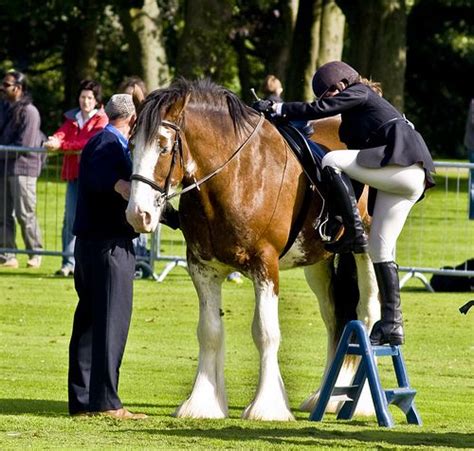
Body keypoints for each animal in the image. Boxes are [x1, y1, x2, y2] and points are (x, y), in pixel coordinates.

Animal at [125, 79, 378, 422]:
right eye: (131, 146)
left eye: (164, 147)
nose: (138, 215)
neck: (236, 175)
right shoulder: (203, 268)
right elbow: (209, 331)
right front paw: (203, 402)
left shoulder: (265, 267)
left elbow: (266, 333)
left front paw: (267, 406)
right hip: (318, 263)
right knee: (334, 320)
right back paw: (324, 396)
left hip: (368, 251)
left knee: (366, 315)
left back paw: (359, 401)